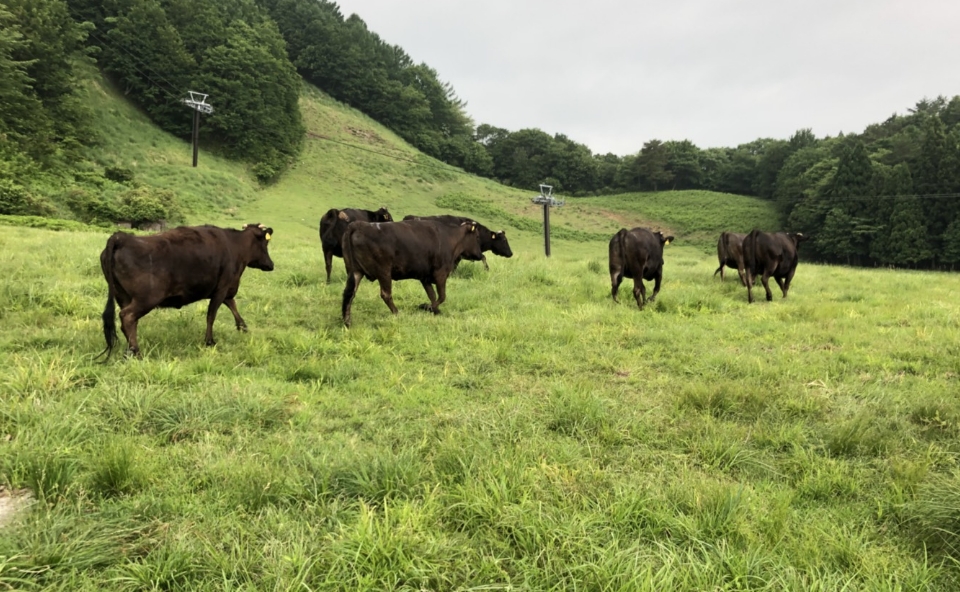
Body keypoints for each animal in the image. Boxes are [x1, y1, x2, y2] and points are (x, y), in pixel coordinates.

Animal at [99, 224, 274, 358]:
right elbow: (212, 315)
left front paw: (242, 327)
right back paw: (136, 352)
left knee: (129, 322)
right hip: (146, 298)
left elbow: (232, 305)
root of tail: (121, 238)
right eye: (265, 245)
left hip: (123, 296)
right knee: (128, 317)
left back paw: (130, 351)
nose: (271, 265)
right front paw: (209, 341)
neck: (234, 246)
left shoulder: (224, 288)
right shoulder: (222, 288)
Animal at [342, 219, 484, 326]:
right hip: (384, 271)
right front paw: (426, 307)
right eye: (477, 237)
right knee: (386, 294)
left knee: (349, 293)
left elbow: (432, 295)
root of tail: (359, 224)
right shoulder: (440, 274)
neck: (449, 239)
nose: (480, 255)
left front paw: (435, 310)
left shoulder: (425, 278)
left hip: (355, 271)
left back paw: (347, 321)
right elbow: (442, 296)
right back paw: (397, 313)